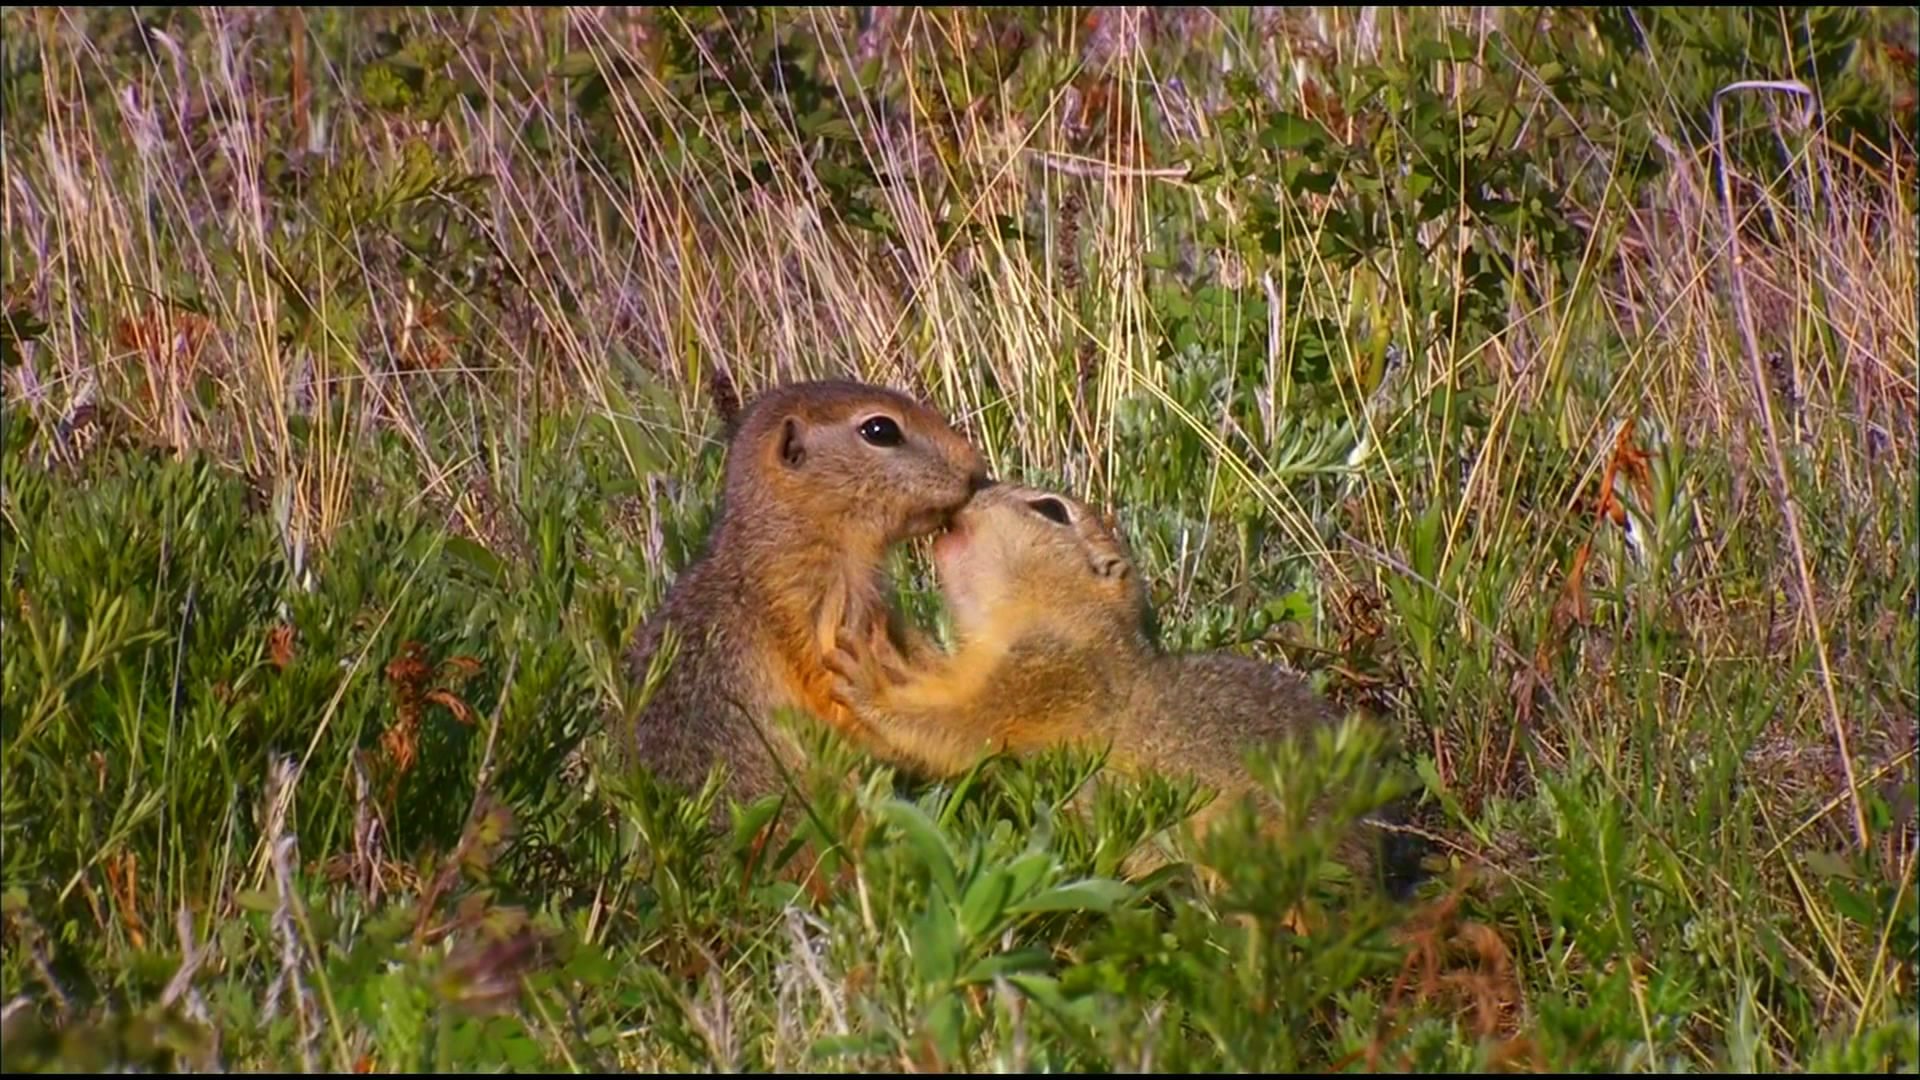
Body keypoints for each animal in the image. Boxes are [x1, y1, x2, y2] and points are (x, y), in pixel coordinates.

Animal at [825, 478, 1428, 891]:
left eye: (1050, 509)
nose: (975, 485)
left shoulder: (1047, 676)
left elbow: (963, 727)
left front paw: (861, 678)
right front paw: (881, 645)